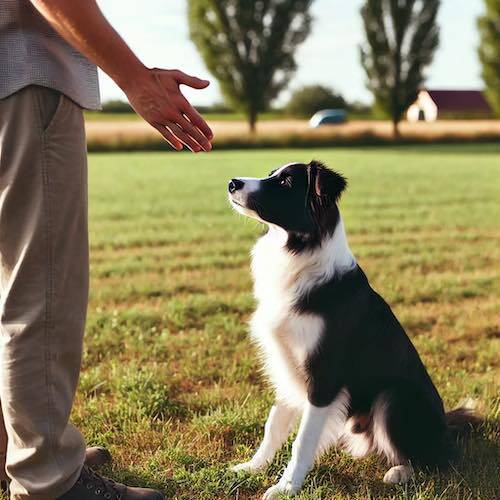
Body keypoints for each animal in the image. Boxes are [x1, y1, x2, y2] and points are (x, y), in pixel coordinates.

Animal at [227, 162, 476, 498]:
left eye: (286, 181)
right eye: (271, 174)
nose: (232, 182)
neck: (300, 252)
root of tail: (446, 431)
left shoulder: (324, 377)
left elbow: (302, 441)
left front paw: (285, 488)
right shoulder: (288, 367)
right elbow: (274, 425)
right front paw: (253, 468)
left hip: (393, 397)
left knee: (433, 460)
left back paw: (400, 472)